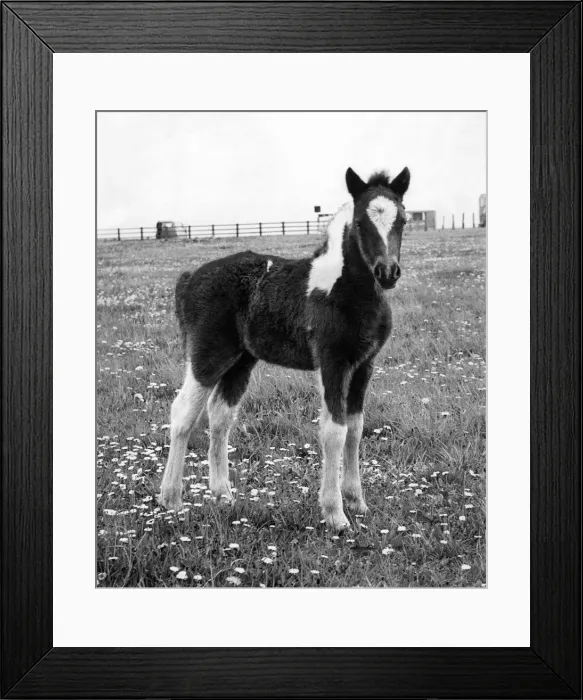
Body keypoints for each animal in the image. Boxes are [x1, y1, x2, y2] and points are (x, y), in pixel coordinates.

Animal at [158, 165, 410, 531]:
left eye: (402, 219)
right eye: (362, 222)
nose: (388, 272)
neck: (344, 289)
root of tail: (190, 277)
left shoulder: (364, 365)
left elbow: (356, 428)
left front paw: (357, 501)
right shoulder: (332, 363)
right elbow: (334, 431)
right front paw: (335, 514)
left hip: (241, 360)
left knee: (220, 416)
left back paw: (224, 496)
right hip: (208, 354)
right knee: (183, 413)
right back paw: (171, 500)